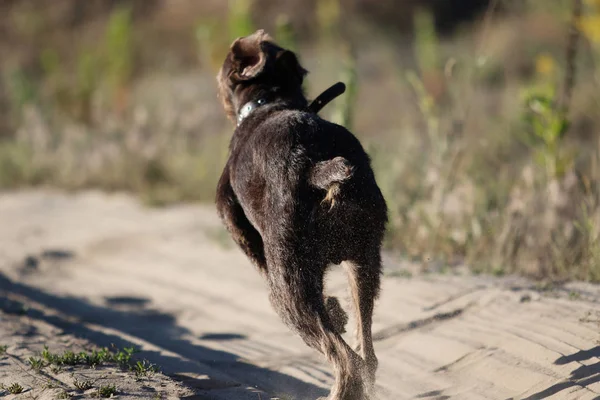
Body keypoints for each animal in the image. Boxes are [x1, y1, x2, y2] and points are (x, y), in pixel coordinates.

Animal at [216, 29, 390, 398]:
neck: (269, 101)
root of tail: (314, 166)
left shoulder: (236, 223)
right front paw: (336, 311)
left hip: (286, 289)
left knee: (345, 359)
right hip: (364, 258)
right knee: (366, 353)